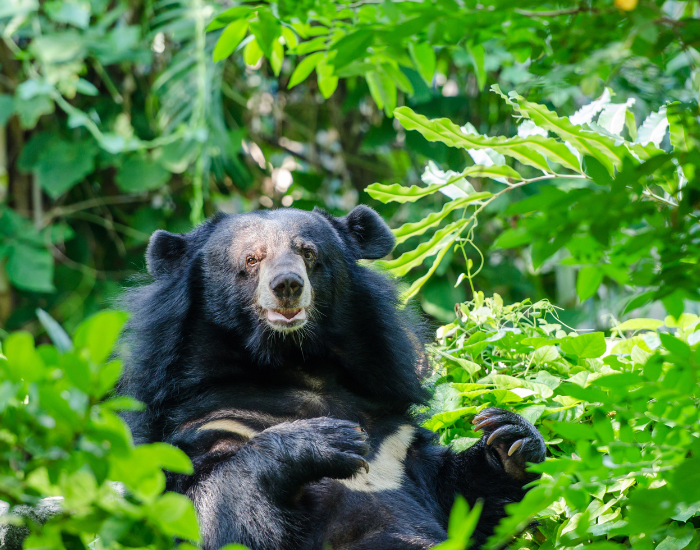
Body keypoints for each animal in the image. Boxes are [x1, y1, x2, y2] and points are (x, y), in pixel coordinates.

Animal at [118, 205, 545, 550]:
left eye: (308, 253)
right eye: (252, 258)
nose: (287, 285)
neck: (294, 364)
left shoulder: (396, 438)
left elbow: (463, 502)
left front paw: (510, 436)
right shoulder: (204, 423)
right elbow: (213, 510)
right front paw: (327, 440)